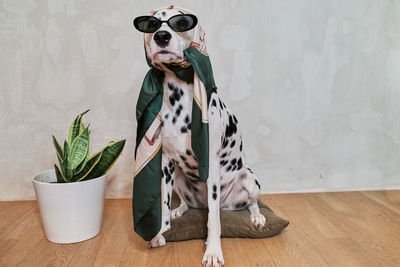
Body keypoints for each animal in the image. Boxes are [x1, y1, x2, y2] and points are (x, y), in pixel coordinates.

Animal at [137, 6, 266, 267]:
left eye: (181, 22)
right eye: (152, 24)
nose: (161, 36)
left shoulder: (212, 166)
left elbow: (213, 221)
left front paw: (213, 251)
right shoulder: (165, 163)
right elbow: (163, 204)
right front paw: (160, 231)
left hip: (248, 177)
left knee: (251, 203)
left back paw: (257, 217)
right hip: (179, 178)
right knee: (188, 204)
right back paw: (179, 211)